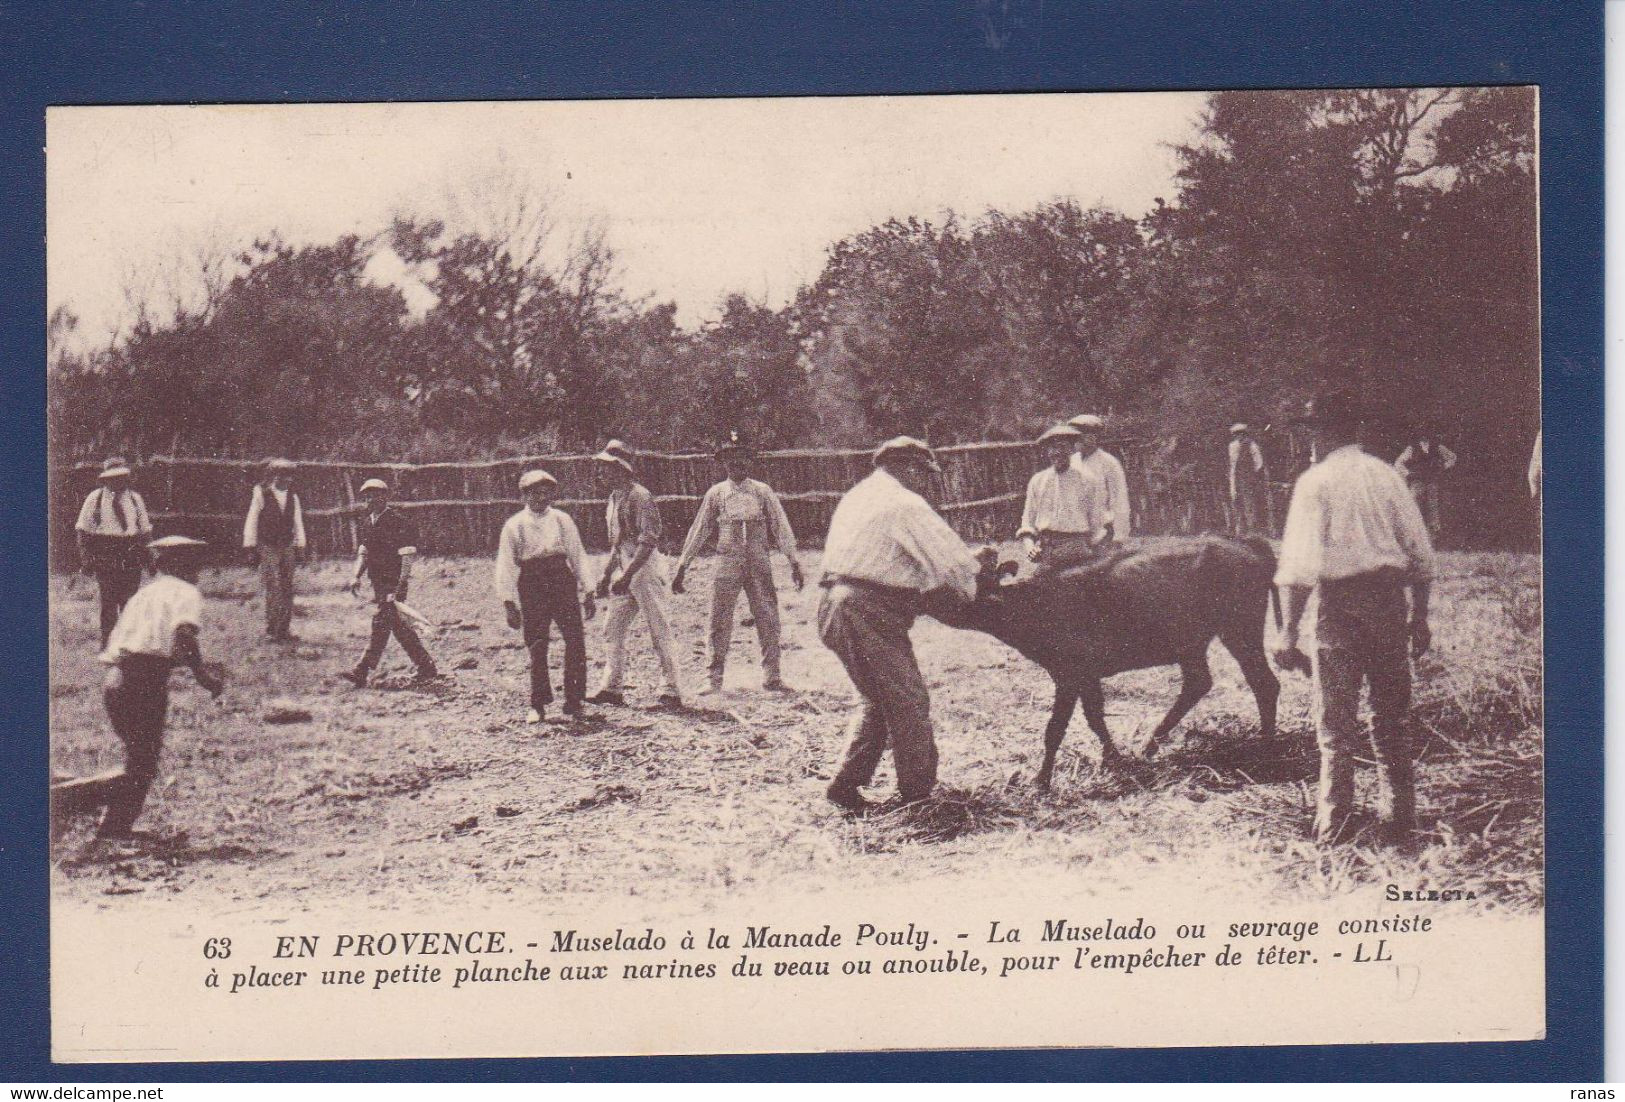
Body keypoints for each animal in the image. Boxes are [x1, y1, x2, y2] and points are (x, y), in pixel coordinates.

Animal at [936, 539, 1274, 789]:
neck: (1036, 602)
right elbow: (1095, 718)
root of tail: (1250, 543)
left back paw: (1266, 744)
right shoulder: (1087, 676)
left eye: (974, 575)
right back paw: (1149, 746)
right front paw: (1113, 759)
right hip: (1193, 644)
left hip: (1240, 630)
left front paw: (1041, 780)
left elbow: (1055, 728)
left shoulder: (1069, 675)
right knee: (1199, 683)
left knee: (1264, 682)